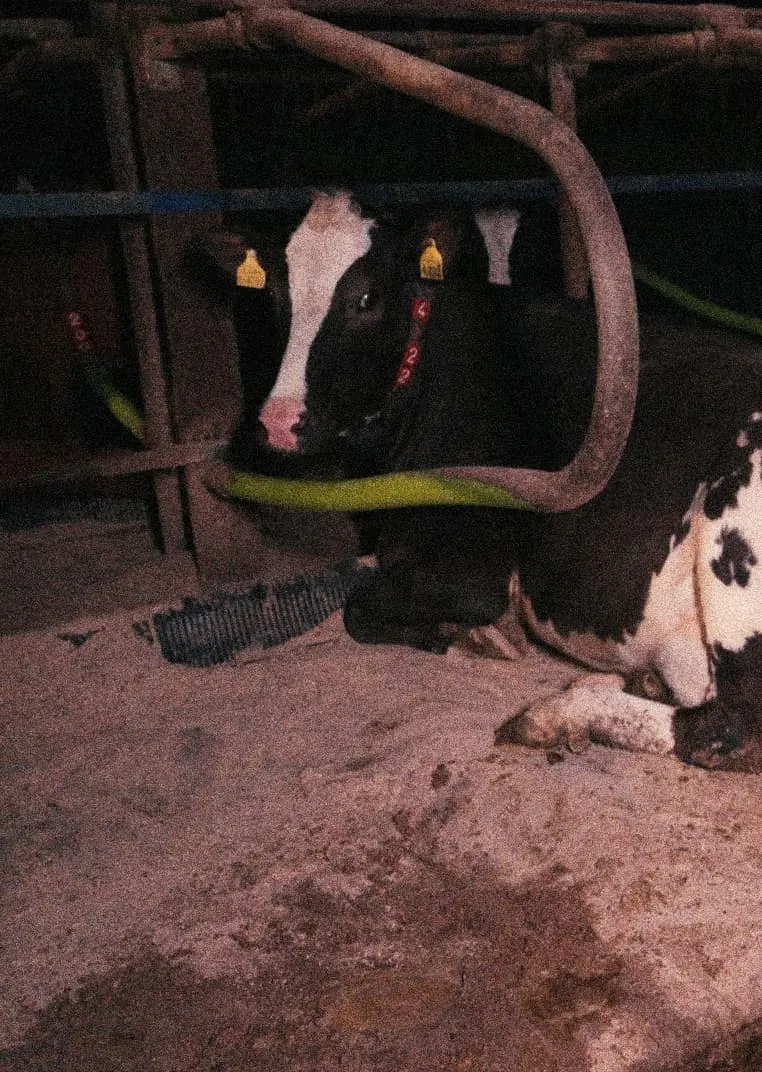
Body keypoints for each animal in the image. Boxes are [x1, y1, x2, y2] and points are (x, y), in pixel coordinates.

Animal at [195, 188, 762, 767]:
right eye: (273, 298)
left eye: (366, 299)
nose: (278, 419)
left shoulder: (470, 567)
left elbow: (359, 608)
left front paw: (467, 637)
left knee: (727, 727)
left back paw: (552, 715)